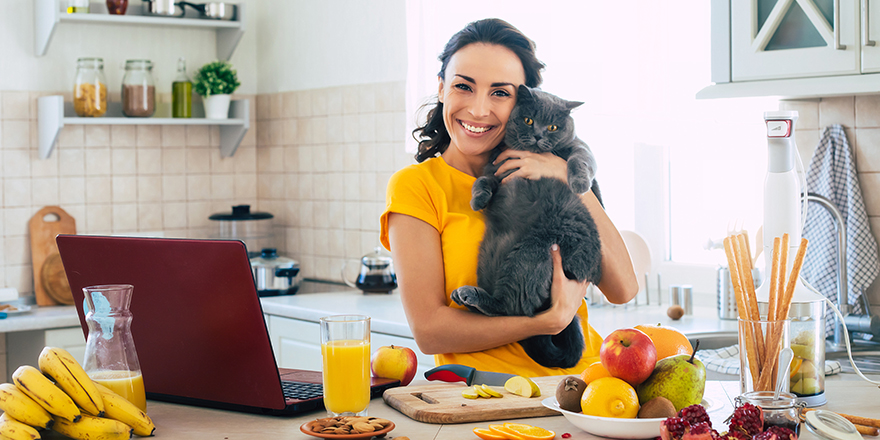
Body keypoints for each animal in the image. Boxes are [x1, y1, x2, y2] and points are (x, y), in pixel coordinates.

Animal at [450, 84, 600, 370]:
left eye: (553, 127)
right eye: (529, 120)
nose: (539, 135)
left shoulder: (579, 146)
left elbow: (581, 159)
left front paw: (579, 184)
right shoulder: (495, 166)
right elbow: (483, 180)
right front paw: (478, 200)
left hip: (531, 253)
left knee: (514, 309)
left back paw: (469, 296)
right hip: (490, 255)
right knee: (509, 312)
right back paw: (467, 296)